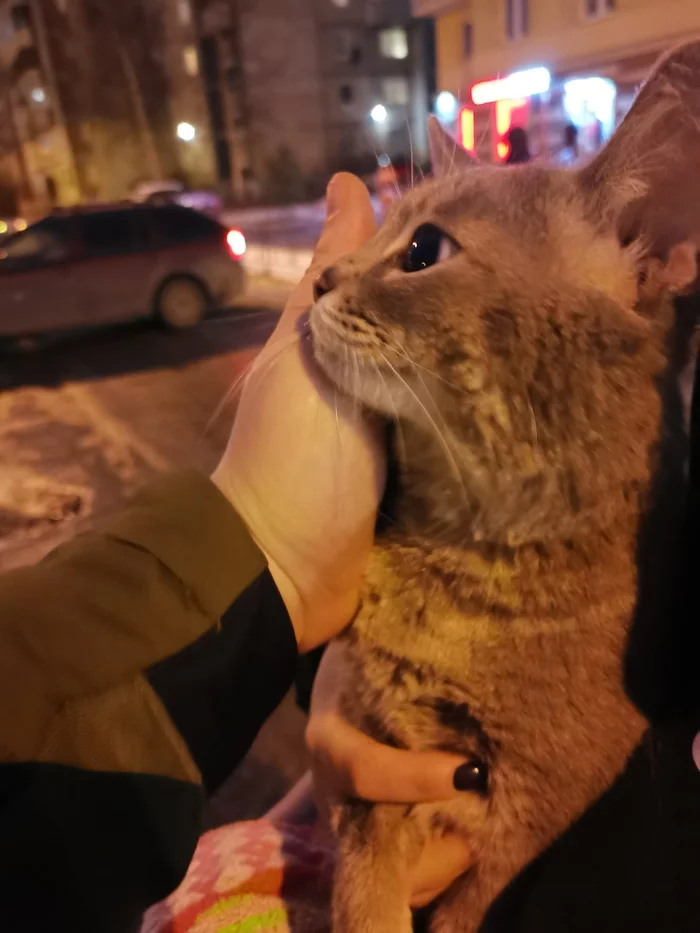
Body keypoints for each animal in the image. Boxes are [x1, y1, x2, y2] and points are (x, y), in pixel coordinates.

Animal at [310, 41, 700, 932]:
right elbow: (363, 897)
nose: (320, 278)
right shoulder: (377, 766)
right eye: (383, 222)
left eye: (423, 249)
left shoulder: (530, 822)